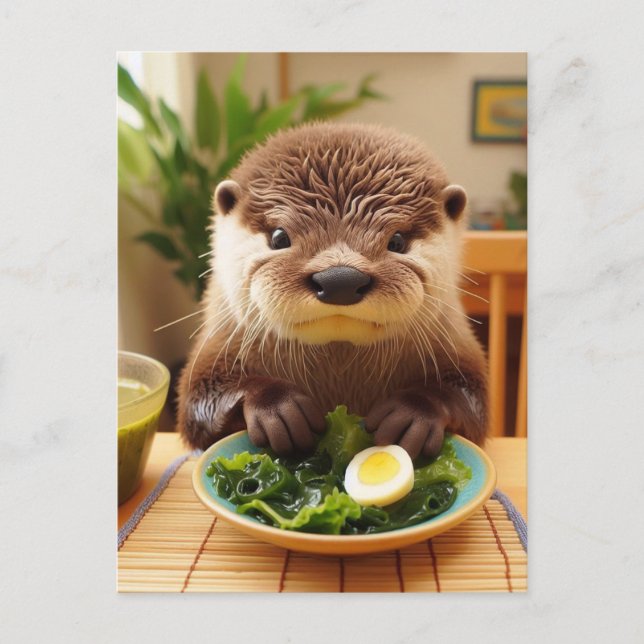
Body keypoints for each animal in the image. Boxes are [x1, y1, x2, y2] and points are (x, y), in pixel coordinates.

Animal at [177, 123, 487, 460]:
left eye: (398, 241)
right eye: (279, 237)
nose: (340, 280)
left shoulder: (456, 340)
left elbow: (472, 397)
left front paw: (413, 413)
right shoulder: (218, 340)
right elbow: (197, 400)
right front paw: (278, 408)